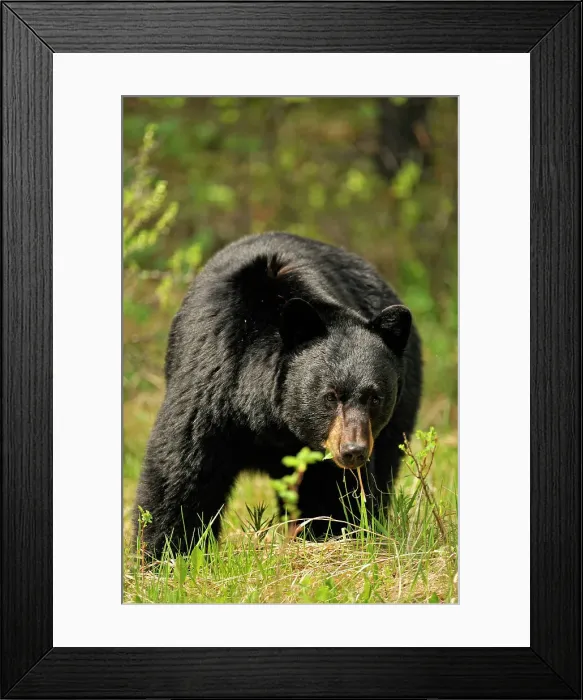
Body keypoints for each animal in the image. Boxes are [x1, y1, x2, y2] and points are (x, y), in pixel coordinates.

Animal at [135, 232, 422, 556]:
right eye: (330, 396)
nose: (353, 450)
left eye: (375, 397)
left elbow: (331, 494)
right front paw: (167, 553)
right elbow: (180, 474)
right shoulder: (210, 384)